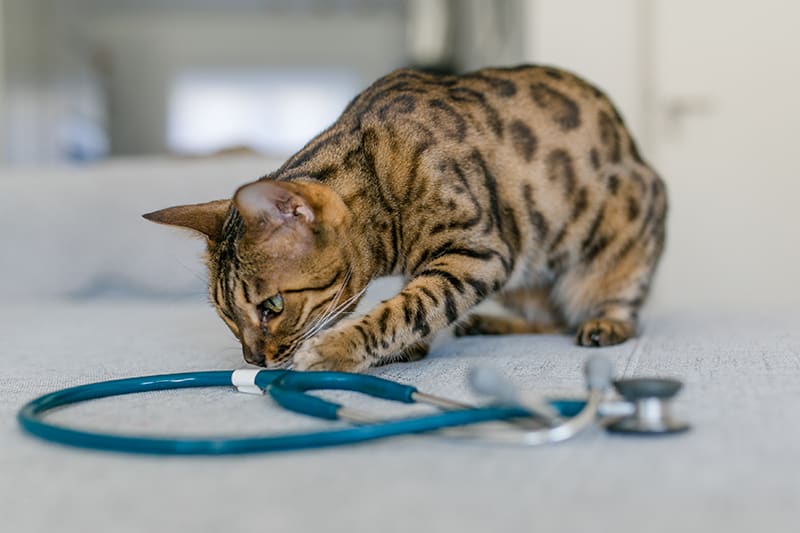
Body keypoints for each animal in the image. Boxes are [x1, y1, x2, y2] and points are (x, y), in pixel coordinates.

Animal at [145, 65, 668, 370]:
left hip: (617, 242)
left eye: (271, 307)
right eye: (227, 316)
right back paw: (490, 323)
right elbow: (415, 304)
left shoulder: (478, 253)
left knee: (602, 310)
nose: (254, 362)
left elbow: (410, 307)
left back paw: (604, 324)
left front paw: (336, 349)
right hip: (525, 279)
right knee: (550, 319)